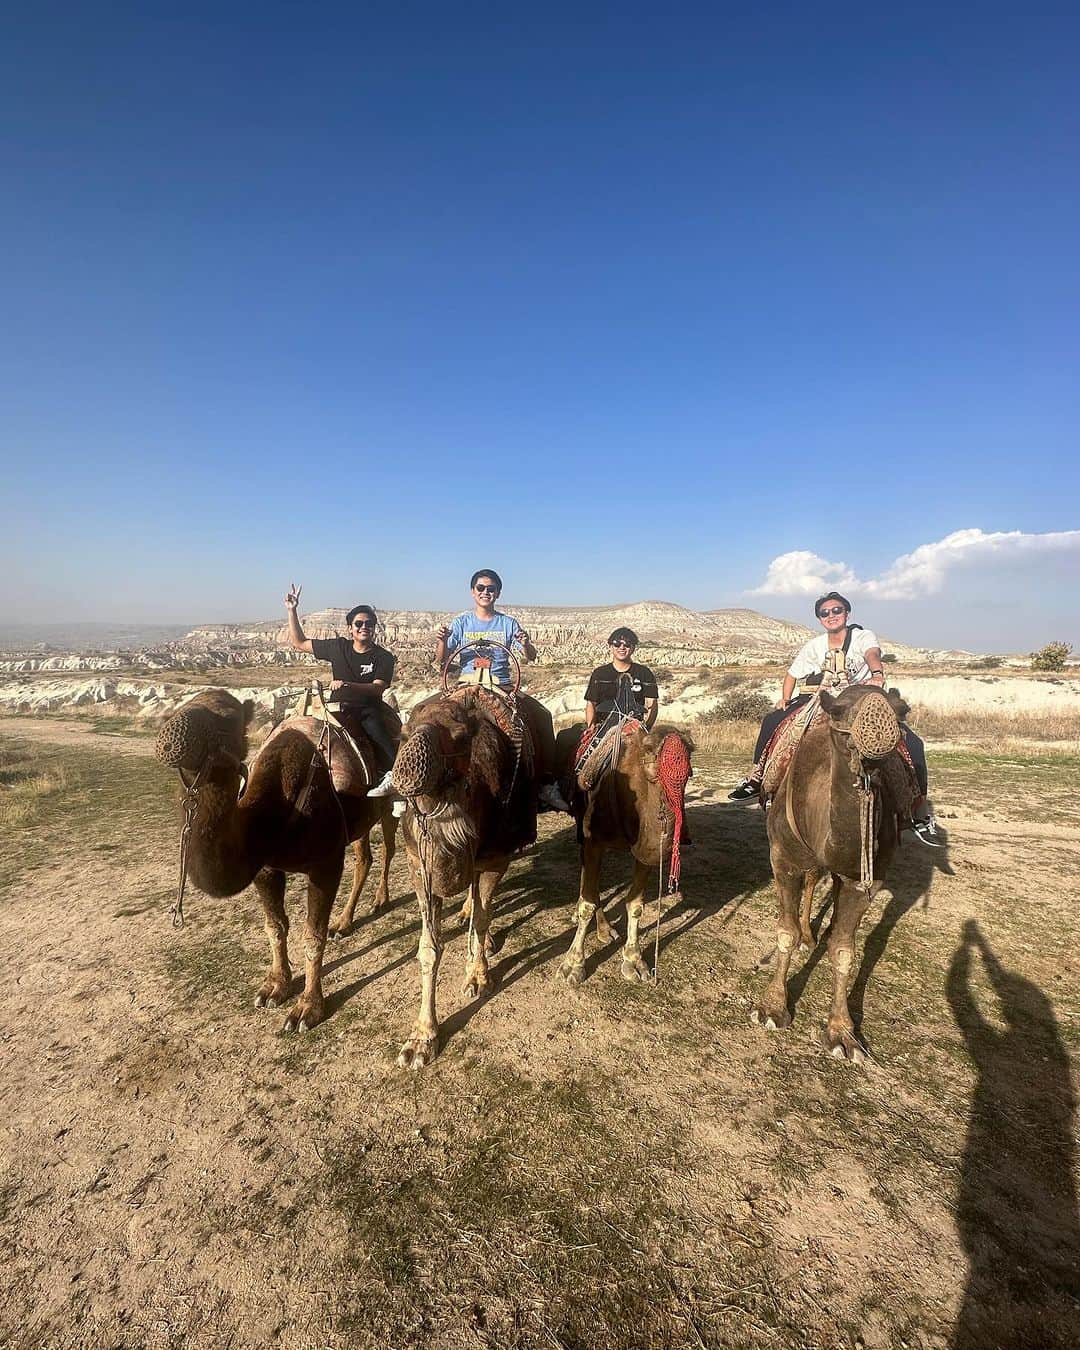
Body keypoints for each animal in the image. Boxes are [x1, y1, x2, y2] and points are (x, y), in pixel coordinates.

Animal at [153, 691, 399, 1026]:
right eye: (181, 706)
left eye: (228, 718)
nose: (172, 734)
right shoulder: (266, 869)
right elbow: (275, 926)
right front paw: (275, 987)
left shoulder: (326, 864)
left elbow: (312, 936)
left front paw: (308, 1008)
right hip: (359, 820)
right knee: (364, 857)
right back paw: (343, 923)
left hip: (390, 806)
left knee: (389, 848)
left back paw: (380, 900)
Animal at [391, 691, 537, 1069]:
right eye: (403, 731)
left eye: (459, 736)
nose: (408, 767)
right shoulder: (419, 868)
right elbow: (429, 948)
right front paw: (421, 1039)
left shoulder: (496, 858)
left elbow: (483, 920)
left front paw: (478, 975)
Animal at [553, 723, 696, 988]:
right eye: (650, 752)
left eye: (690, 763)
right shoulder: (594, 840)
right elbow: (588, 903)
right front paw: (573, 965)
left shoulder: (644, 851)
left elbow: (636, 905)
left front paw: (634, 961)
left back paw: (603, 930)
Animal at [750, 691, 918, 1058]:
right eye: (840, 713)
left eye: (899, 712)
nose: (878, 724)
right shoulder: (782, 857)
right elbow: (784, 932)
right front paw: (772, 1008)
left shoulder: (866, 879)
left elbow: (844, 951)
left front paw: (842, 1033)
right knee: (814, 877)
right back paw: (807, 936)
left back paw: (817, 934)